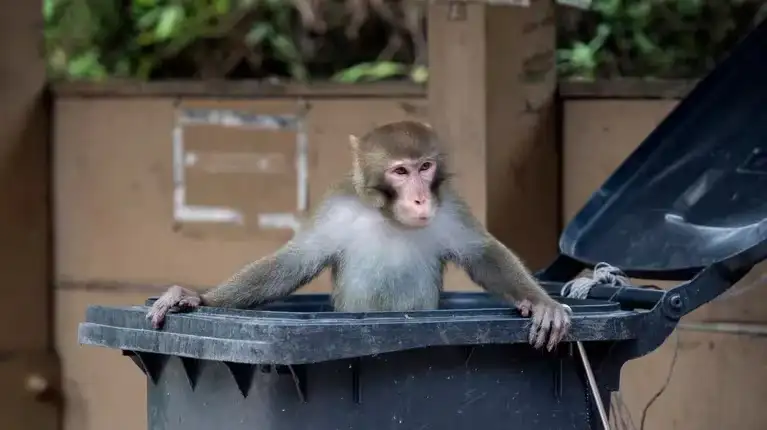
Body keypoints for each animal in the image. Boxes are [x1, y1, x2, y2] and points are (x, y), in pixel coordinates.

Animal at [147, 121, 572, 351]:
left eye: (425, 167)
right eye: (400, 171)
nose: (420, 199)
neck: (388, 217)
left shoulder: (448, 206)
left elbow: (482, 252)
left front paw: (542, 303)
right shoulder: (336, 208)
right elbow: (293, 262)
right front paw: (196, 298)